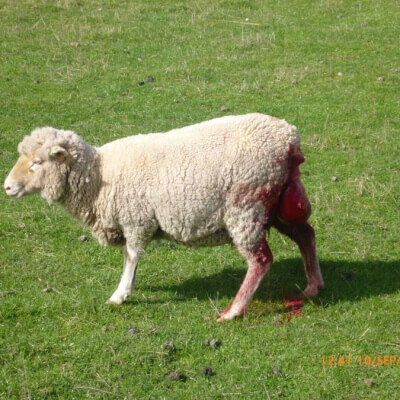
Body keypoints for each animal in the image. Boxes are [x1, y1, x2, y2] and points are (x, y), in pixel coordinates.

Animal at [3, 114, 324, 320]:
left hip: (247, 205)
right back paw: (313, 287)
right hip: (276, 205)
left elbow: (131, 256)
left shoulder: (136, 220)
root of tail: (289, 139)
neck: (99, 176)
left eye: (37, 162)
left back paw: (233, 311)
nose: (6, 186)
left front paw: (120, 294)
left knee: (261, 260)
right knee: (306, 235)